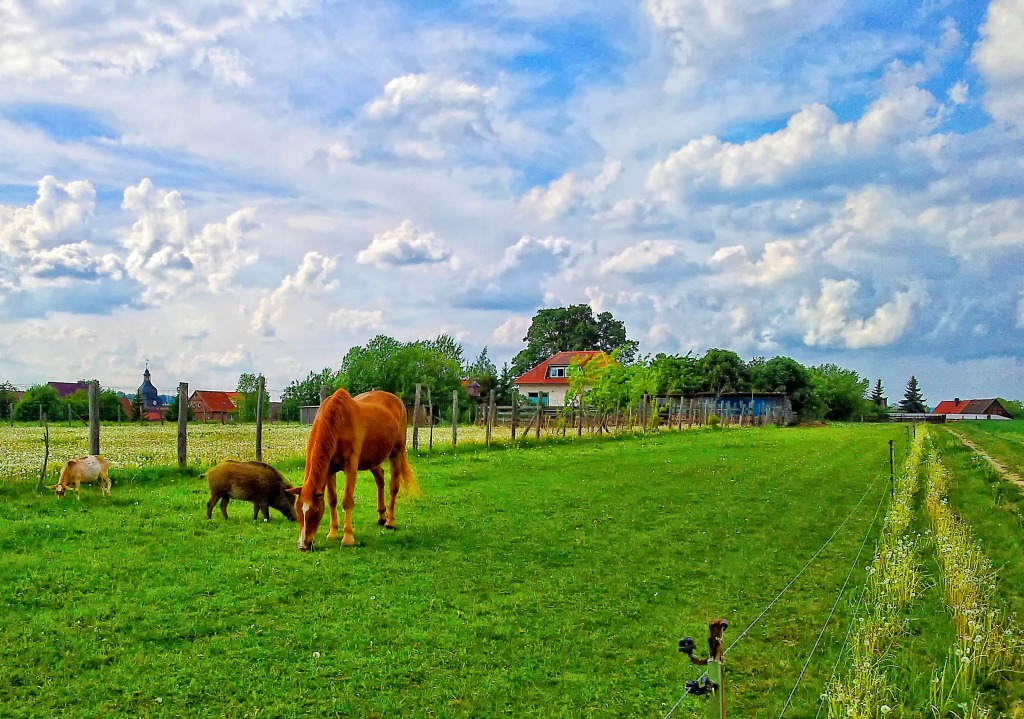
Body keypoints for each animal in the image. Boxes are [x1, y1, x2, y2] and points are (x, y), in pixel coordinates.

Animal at [286, 389, 417, 553]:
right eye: (297, 511)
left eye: (315, 511)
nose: (303, 545)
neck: (338, 422)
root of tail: (396, 400)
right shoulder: (329, 470)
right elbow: (332, 500)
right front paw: (332, 532)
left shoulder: (351, 468)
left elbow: (347, 501)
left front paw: (347, 538)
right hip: (373, 458)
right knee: (380, 479)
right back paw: (381, 516)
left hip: (396, 453)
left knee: (393, 487)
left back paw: (390, 522)